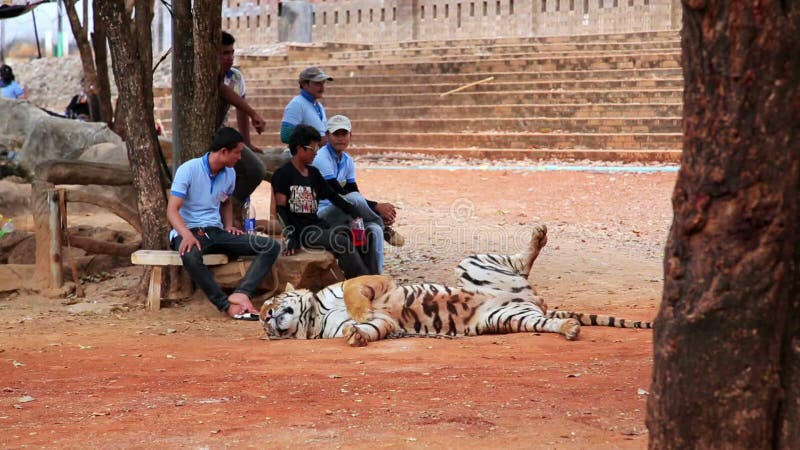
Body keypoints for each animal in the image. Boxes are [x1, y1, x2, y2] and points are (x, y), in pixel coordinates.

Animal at [260, 223, 652, 346]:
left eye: (269, 306)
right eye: (263, 320)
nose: (265, 319)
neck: (312, 316)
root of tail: (534, 300)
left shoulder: (366, 281)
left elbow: (358, 298)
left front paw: (357, 317)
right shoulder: (384, 322)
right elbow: (371, 327)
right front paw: (356, 334)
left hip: (473, 263)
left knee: (522, 260)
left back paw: (539, 234)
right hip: (510, 318)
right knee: (548, 321)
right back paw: (570, 328)